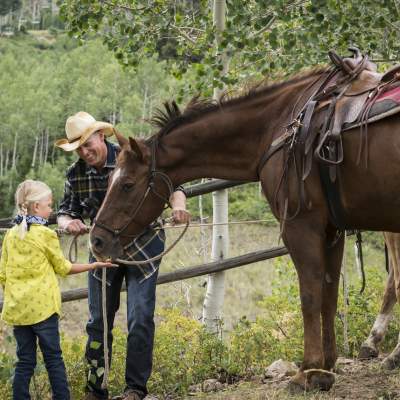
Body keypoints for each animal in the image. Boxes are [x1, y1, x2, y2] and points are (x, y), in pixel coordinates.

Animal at [90, 65, 400, 390]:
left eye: (126, 185)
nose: (97, 240)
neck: (280, 127)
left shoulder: (301, 226)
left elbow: (310, 294)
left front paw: (309, 371)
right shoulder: (331, 230)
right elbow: (328, 294)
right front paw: (326, 367)